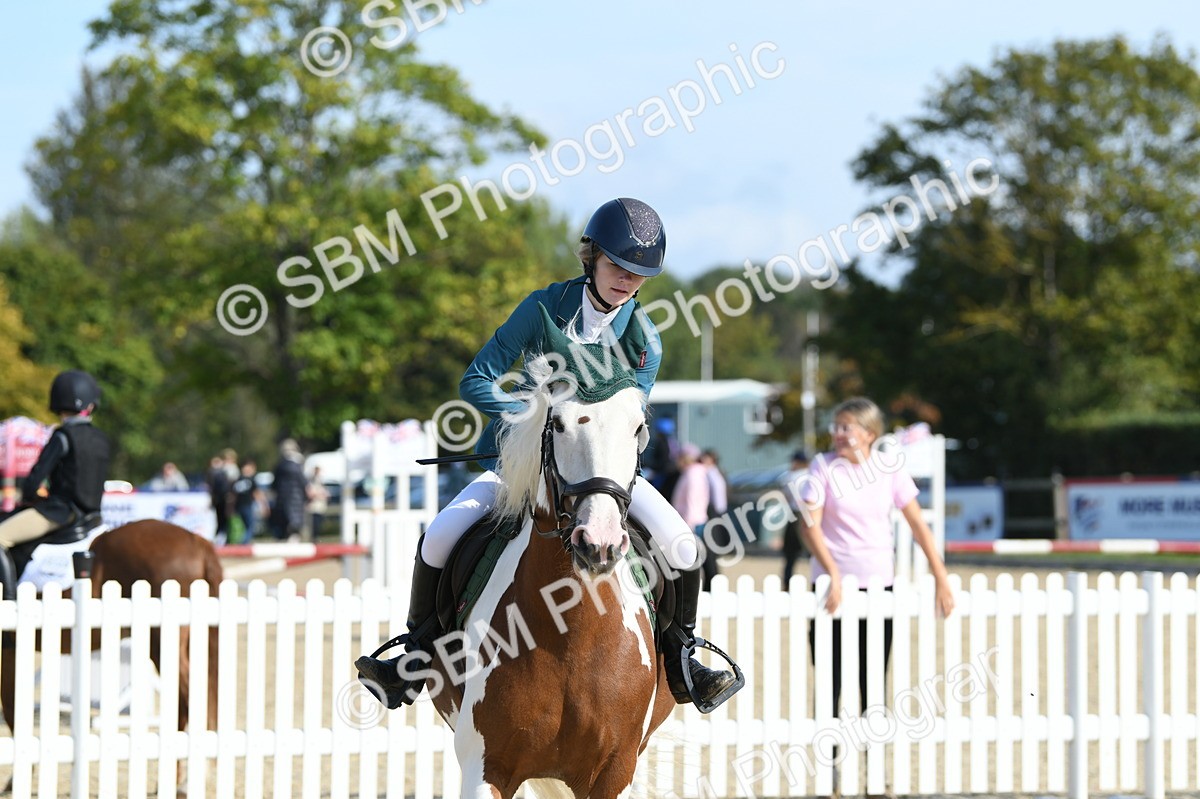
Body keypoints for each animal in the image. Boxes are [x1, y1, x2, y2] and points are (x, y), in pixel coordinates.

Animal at [422, 351, 678, 799]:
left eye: (638, 427)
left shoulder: (614, 771)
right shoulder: (485, 766)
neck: (570, 632)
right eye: (557, 423)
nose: (599, 543)